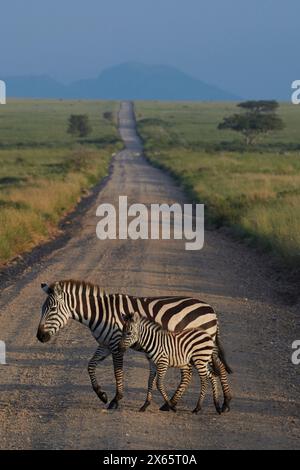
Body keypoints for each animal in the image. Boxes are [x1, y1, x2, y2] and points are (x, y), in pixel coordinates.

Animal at [35, 280, 232, 410]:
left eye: (52, 309)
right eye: (42, 309)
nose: (39, 337)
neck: (100, 313)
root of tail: (210, 308)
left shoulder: (116, 344)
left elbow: (117, 372)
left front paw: (116, 399)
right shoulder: (105, 344)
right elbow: (90, 365)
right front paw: (101, 394)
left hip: (202, 345)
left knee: (217, 369)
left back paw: (225, 403)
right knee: (194, 372)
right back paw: (174, 403)